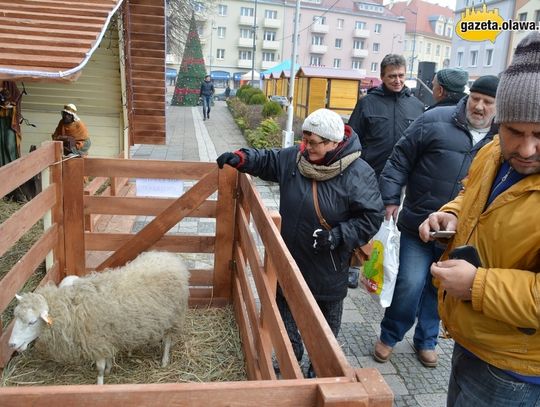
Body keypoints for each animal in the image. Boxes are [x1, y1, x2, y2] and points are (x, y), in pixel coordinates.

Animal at [7, 252, 190, 386]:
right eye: (16, 318)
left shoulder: (97, 340)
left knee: (168, 340)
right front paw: (109, 369)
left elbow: (100, 368)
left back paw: (164, 361)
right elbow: (108, 358)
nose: (11, 344)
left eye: (31, 322)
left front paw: (100, 384)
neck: (71, 309)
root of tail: (171, 258)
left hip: (174, 316)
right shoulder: (106, 337)